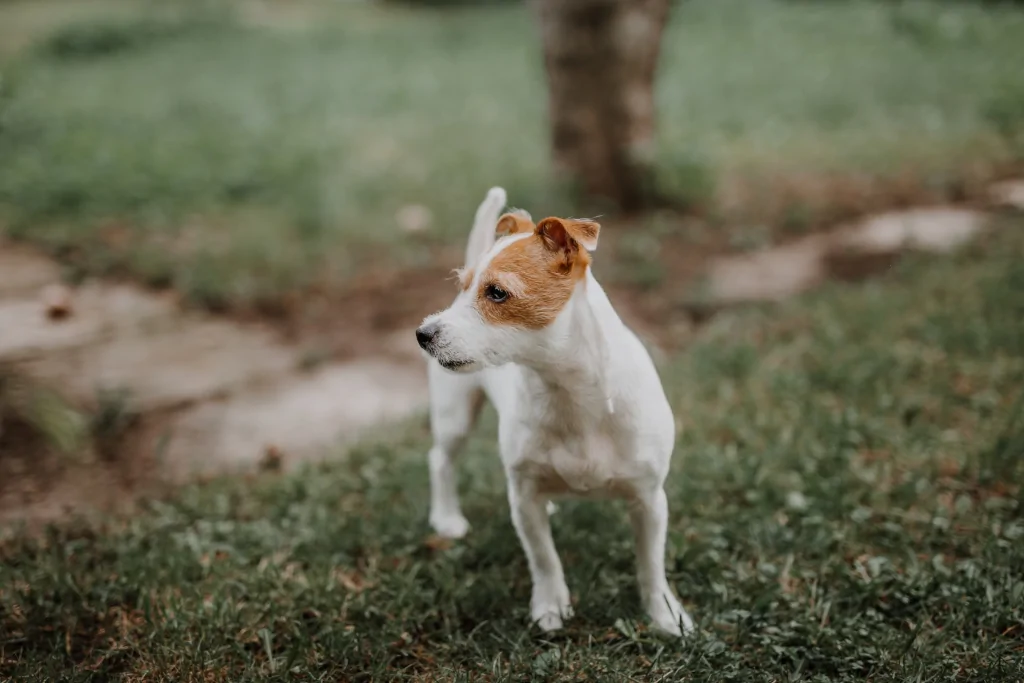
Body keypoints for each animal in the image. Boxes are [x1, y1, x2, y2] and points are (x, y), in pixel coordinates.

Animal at [415, 185, 696, 634]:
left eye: (497, 292)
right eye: (462, 287)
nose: (422, 334)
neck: (569, 392)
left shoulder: (649, 500)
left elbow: (651, 565)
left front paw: (665, 615)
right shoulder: (524, 497)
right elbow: (543, 558)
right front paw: (550, 606)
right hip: (454, 415)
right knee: (440, 459)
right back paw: (446, 517)